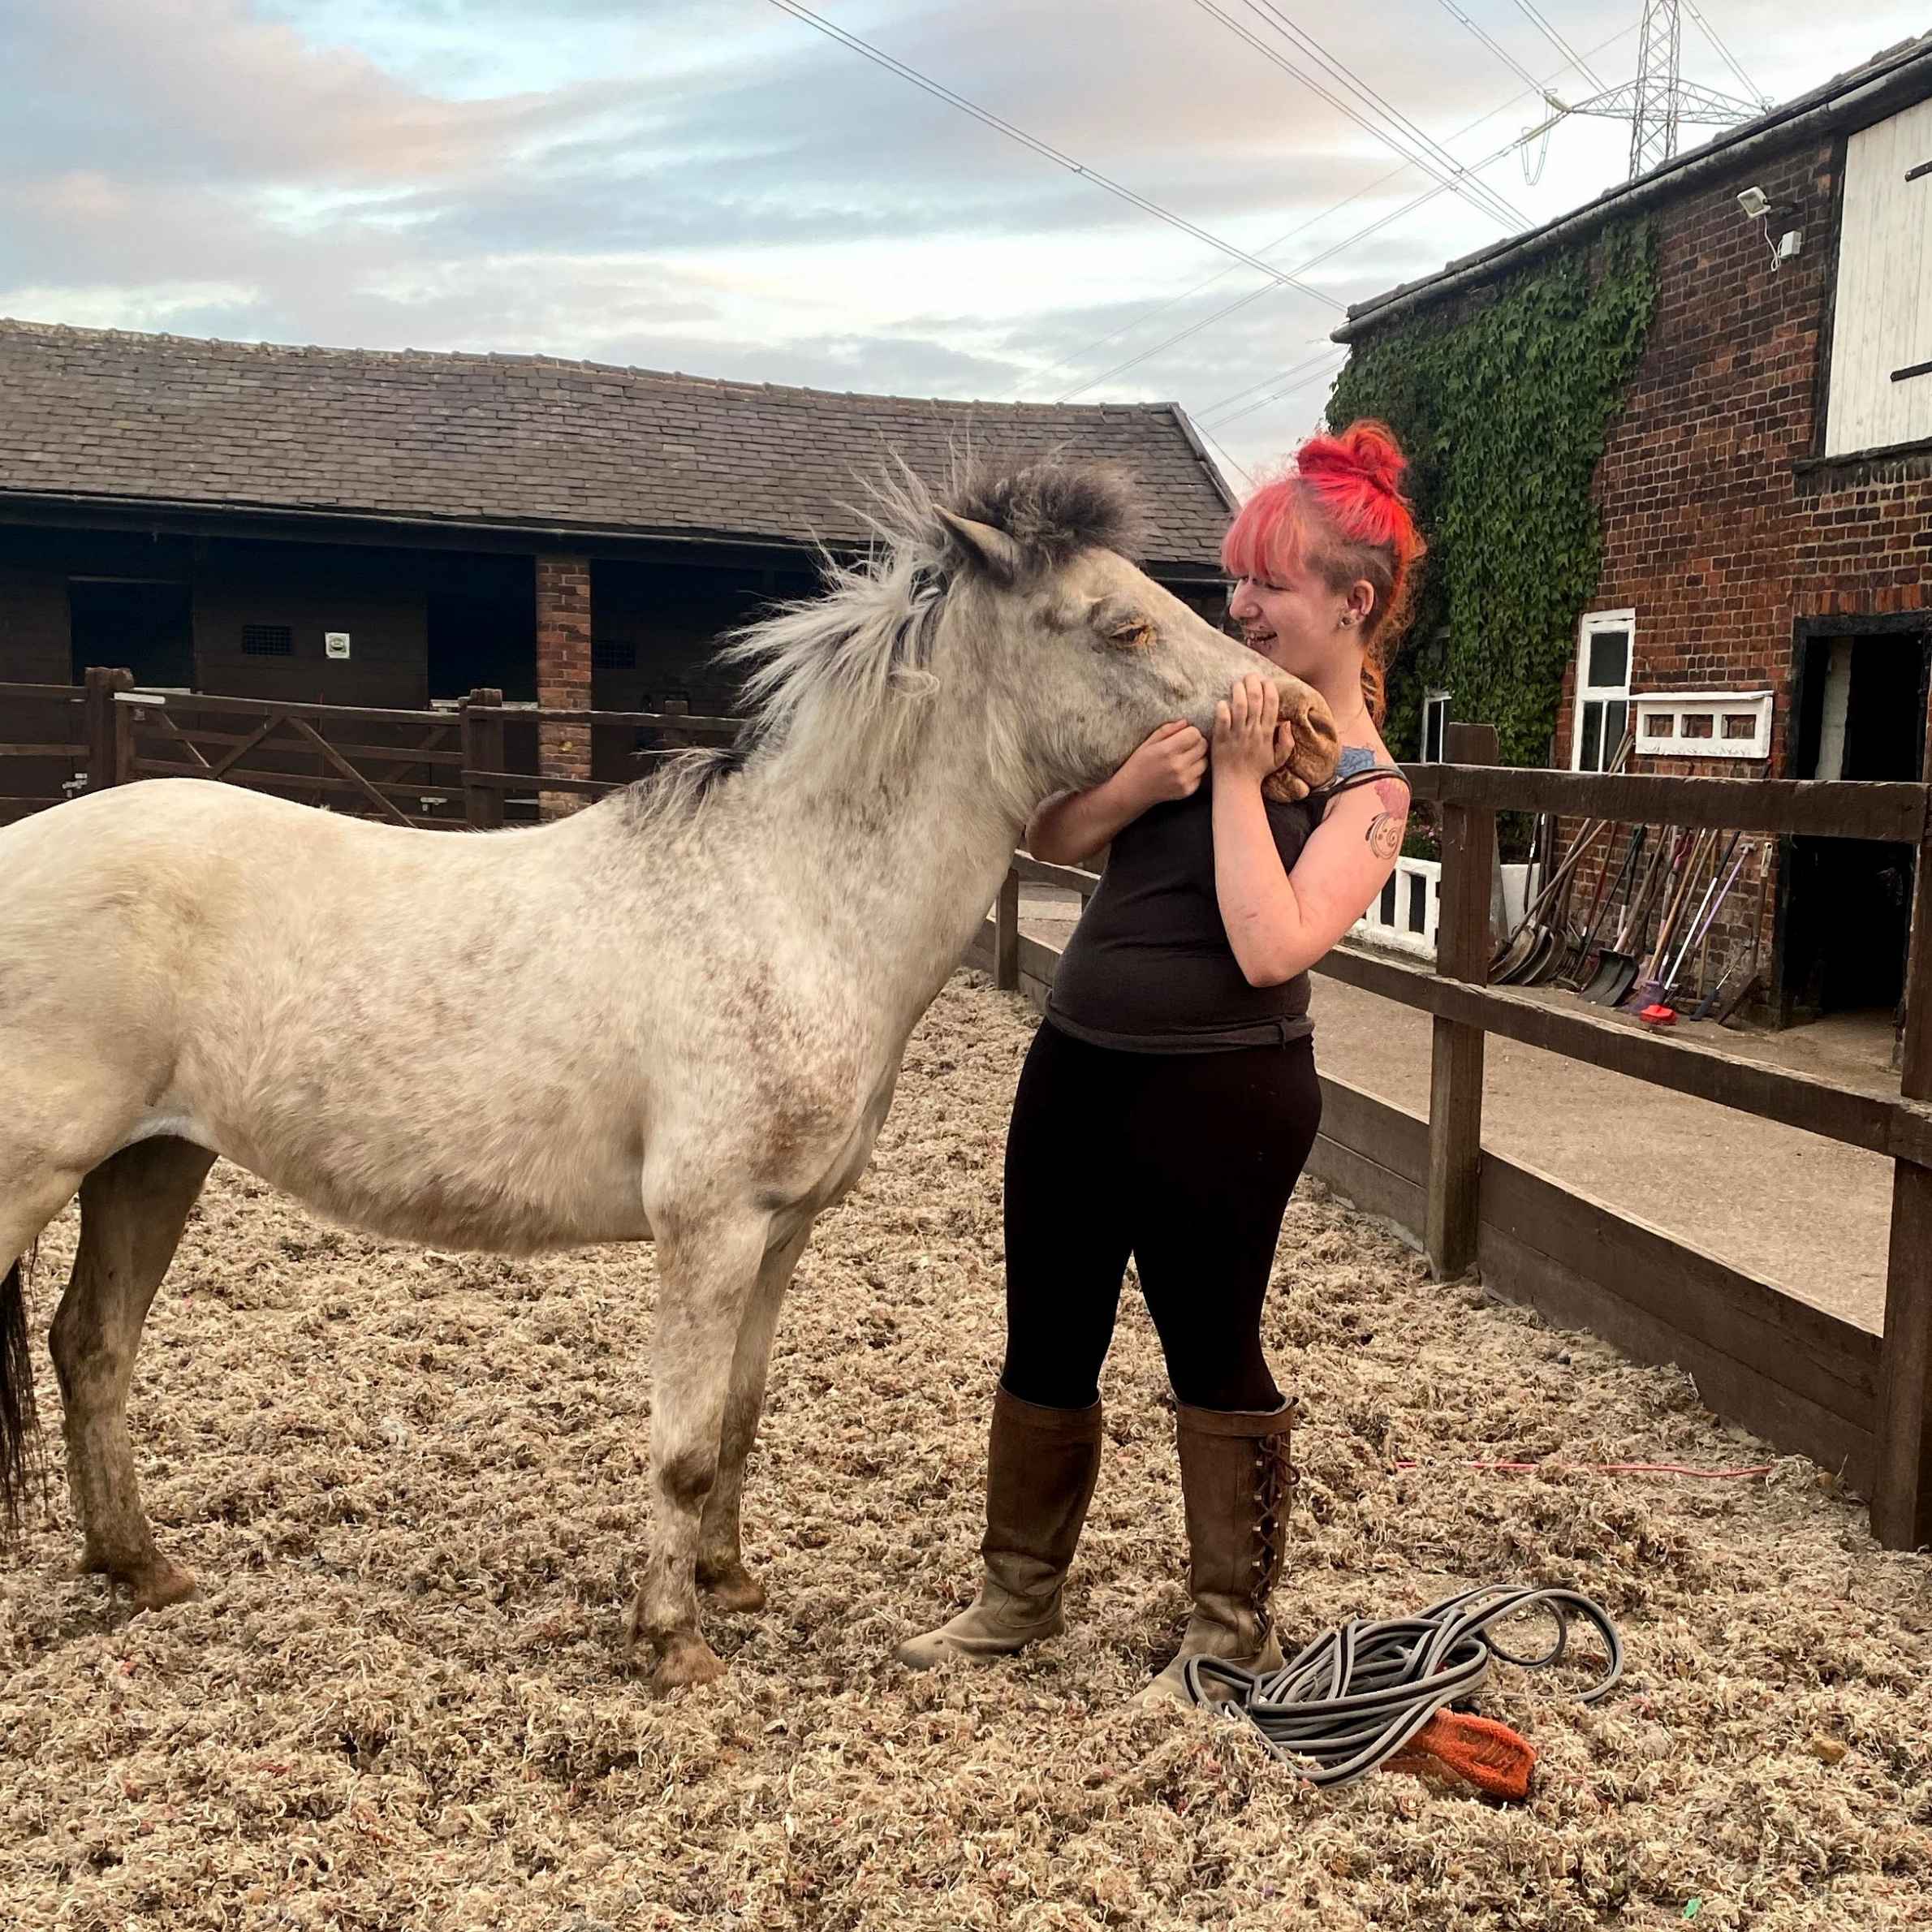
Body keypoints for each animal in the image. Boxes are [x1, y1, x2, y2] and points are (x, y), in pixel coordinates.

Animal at [0, 458, 1339, 1691]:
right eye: (1122, 624)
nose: (1312, 729)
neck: (792, 900)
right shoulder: (710, 1228)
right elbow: (684, 1443)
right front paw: (672, 1645)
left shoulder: (781, 1232)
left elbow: (738, 1418)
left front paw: (729, 1584)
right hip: (42, 1175)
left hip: (154, 1162)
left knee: (94, 1347)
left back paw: (143, 1569)